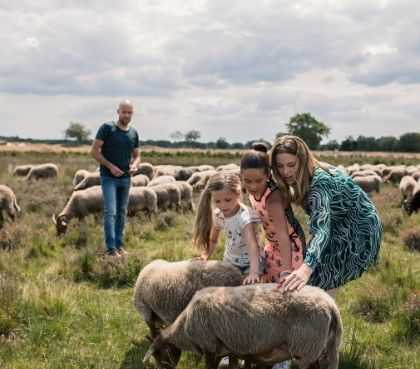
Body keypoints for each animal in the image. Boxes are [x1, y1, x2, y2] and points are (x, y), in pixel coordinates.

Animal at [144, 284, 342, 368]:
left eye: (160, 354)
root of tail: (331, 306)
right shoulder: (231, 347)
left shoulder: (210, 347)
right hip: (319, 348)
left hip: (305, 348)